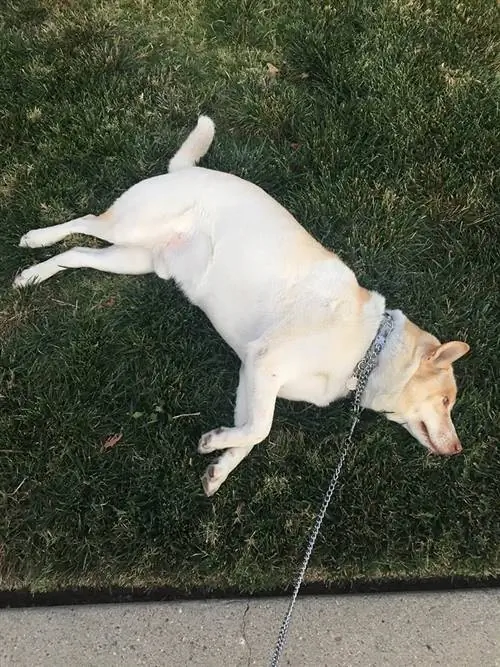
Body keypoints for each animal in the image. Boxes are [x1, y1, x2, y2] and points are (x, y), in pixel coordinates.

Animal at [14, 117, 468, 496]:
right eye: (447, 402)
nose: (458, 450)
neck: (369, 347)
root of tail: (186, 170)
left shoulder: (252, 375)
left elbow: (249, 431)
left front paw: (221, 465)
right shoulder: (264, 363)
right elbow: (261, 429)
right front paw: (214, 443)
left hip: (134, 259)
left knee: (76, 253)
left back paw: (32, 276)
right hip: (130, 228)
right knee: (86, 222)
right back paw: (35, 238)